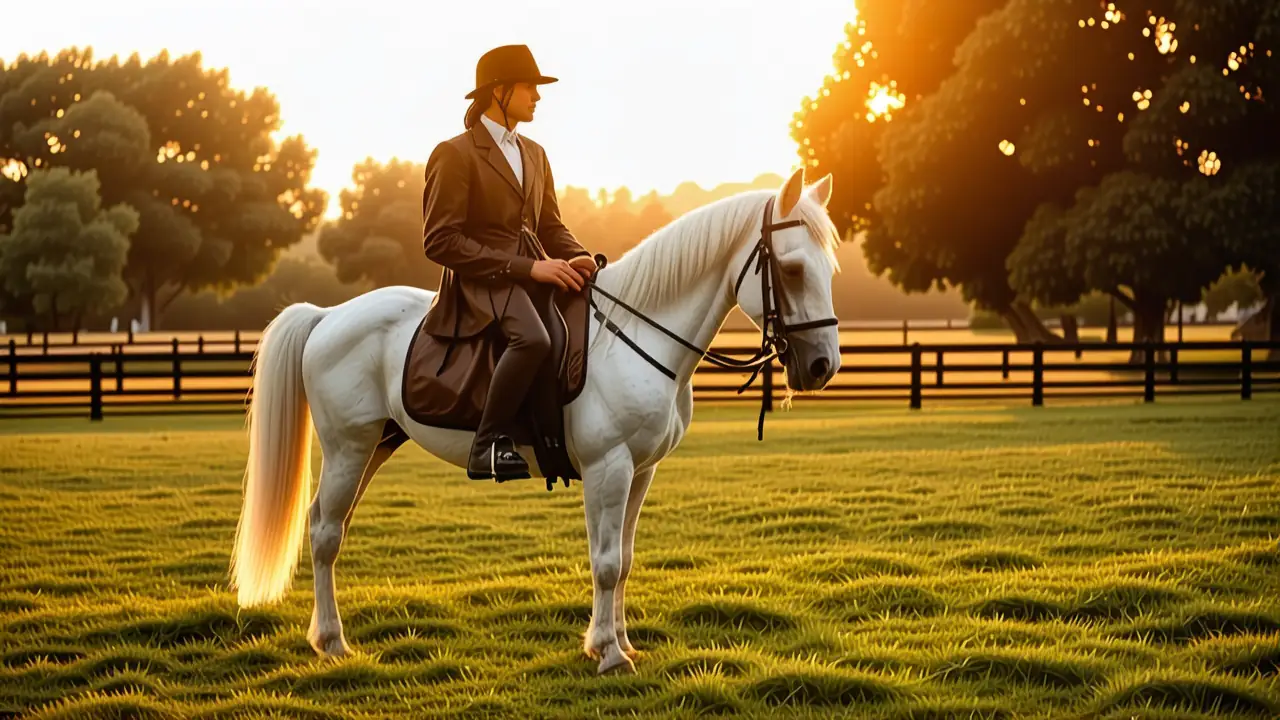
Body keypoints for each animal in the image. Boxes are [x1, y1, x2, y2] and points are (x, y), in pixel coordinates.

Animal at [229, 167, 842, 675]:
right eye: (791, 269)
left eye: (829, 268)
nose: (822, 366)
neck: (633, 335)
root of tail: (328, 316)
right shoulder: (608, 468)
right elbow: (606, 562)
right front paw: (610, 654)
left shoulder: (639, 472)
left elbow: (624, 558)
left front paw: (617, 641)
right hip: (348, 447)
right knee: (325, 534)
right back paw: (333, 642)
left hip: (375, 445)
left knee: (329, 525)